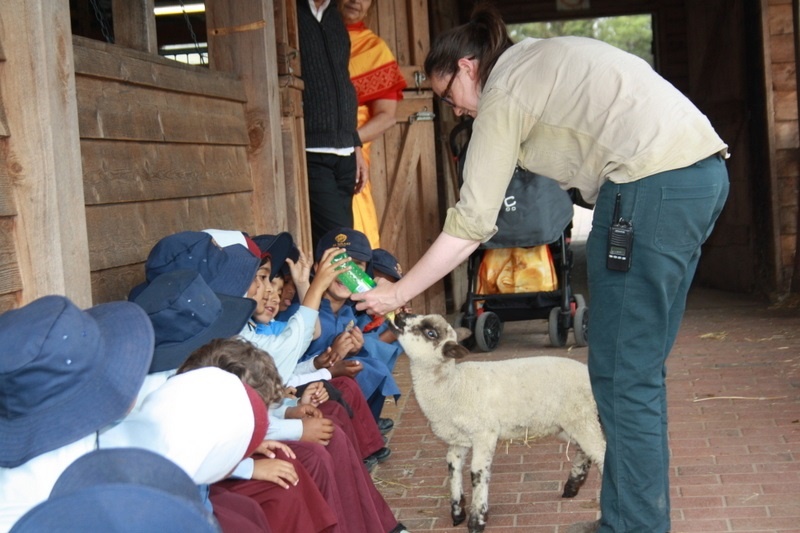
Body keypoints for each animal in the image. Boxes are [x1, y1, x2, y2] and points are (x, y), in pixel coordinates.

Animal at [390, 312, 608, 532]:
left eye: (431, 333)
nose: (400, 315)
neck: (453, 386)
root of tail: (588, 373)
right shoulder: (460, 439)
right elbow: (452, 466)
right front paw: (458, 512)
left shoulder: (484, 433)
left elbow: (477, 473)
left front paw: (477, 519)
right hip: (567, 423)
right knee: (585, 450)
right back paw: (572, 485)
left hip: (581, 417)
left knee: (601, 452)